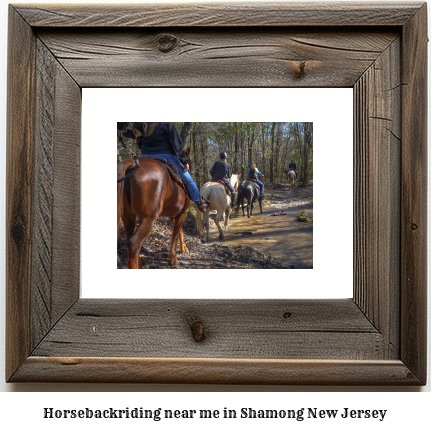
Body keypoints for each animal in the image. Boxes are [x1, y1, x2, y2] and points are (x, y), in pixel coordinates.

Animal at [118, 123, 192, 268]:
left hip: (128, 215)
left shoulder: (174, 215)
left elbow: (178, 231)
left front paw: (183, 249)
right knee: (134, 243)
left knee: (130, 239)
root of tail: (133, 164)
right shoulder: (183, 213)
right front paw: (173, 259)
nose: (187, 166)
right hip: (149, 218)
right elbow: (175, 234)